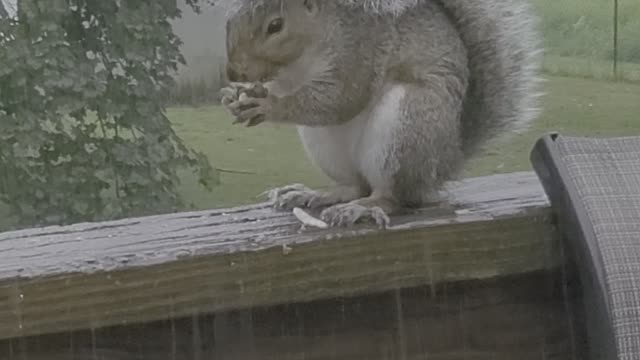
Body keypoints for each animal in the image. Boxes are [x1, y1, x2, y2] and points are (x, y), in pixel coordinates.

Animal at [218, 0, 544, 226]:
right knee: (355, 185)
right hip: (323, 145)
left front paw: (269, 105)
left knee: (394, 198)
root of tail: (449, 160)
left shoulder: (358, 53)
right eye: (230, 21)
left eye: (275, 25)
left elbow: (341, 99)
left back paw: (361, 208)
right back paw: (317, 194)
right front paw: (234, 94)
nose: (233, 72)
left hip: (408, 127)